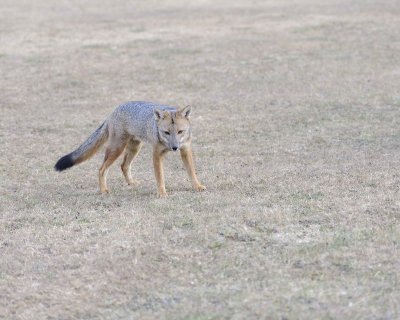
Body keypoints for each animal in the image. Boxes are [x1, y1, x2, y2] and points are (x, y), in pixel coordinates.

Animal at [54, 101, 206, 196]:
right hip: (117, 149)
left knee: (124, 165)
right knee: (102, 169)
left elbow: (191, 172)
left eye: (180, 132)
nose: (174, 147)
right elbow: (160, 177)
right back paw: (103, 190)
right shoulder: (157, 154)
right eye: (166, 133)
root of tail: (114, 110)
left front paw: (197, 186)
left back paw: (131, 182)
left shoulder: (185, 149)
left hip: (134, 147)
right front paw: (162, 193)